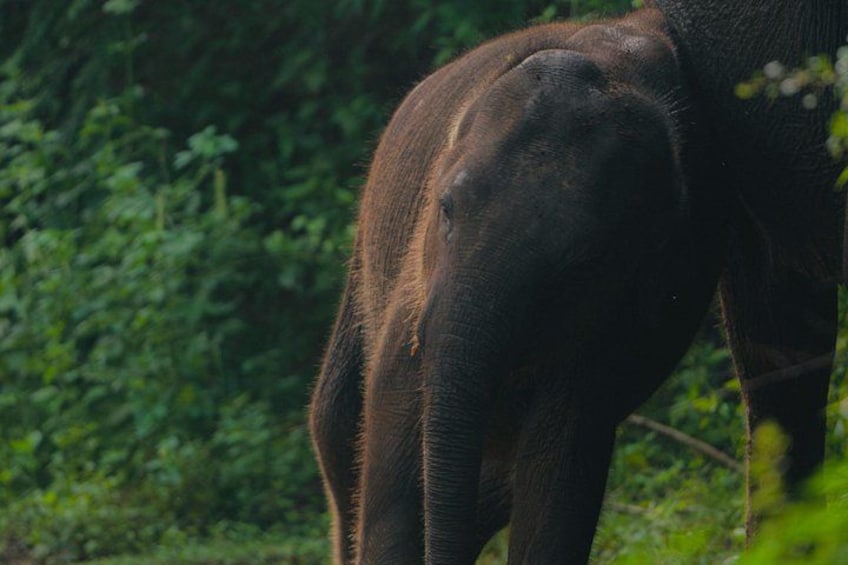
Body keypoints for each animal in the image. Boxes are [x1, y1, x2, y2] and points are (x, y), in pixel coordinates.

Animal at [309, 7, 728, 564]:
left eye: (580, 263)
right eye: (446, 208)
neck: (611, 59)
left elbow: (560, 475)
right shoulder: (416, 280)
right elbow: (392, 463)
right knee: (337, 431)